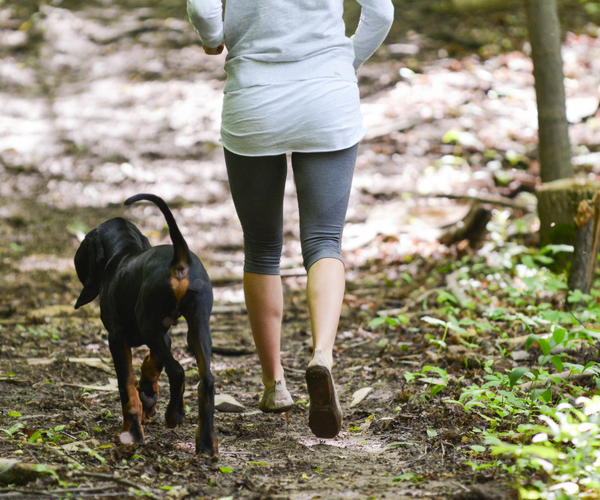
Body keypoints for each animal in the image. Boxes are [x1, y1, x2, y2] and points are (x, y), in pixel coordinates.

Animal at [73, 193, 218, 458]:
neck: (123, 253)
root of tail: (180, 258)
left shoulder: (117, 338)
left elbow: (127, 387)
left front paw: (131, 431)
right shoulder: (163, 334)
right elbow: (151, 364)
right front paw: (148, 397)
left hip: (148, 324)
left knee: (177, 371)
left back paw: (174, 415)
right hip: (198, 326)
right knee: (207, 381)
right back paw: (206, 443)